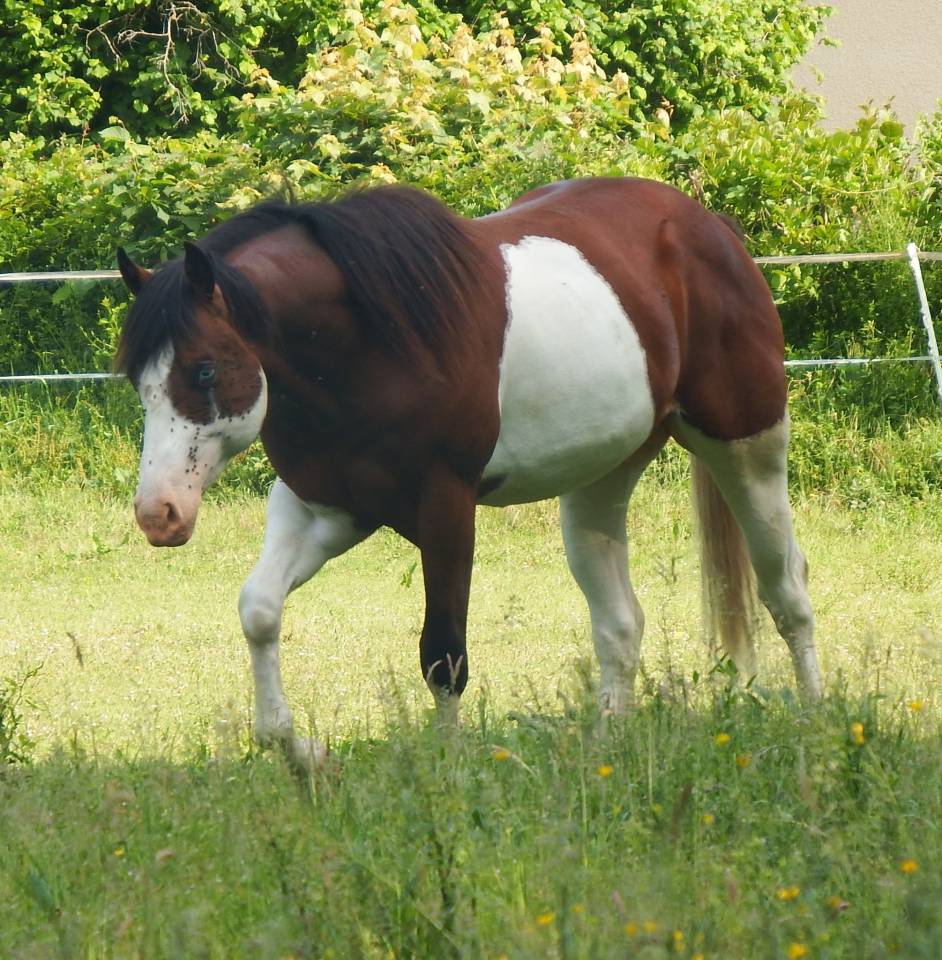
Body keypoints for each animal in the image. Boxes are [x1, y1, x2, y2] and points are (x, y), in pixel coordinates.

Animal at [115, 177, 823, 770]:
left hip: (749, 449)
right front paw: (303, 754)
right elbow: (259, 610)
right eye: (137, 381)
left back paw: (817, 722)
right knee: (621, 623)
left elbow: (443, 655)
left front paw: (451, 776)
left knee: (786, 591)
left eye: (205, 369)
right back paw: (604, 750)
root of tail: (710, 228)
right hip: (600, 480)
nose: (159, 514)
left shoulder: (445, 508)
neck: (371, 341)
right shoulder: (326, 508)